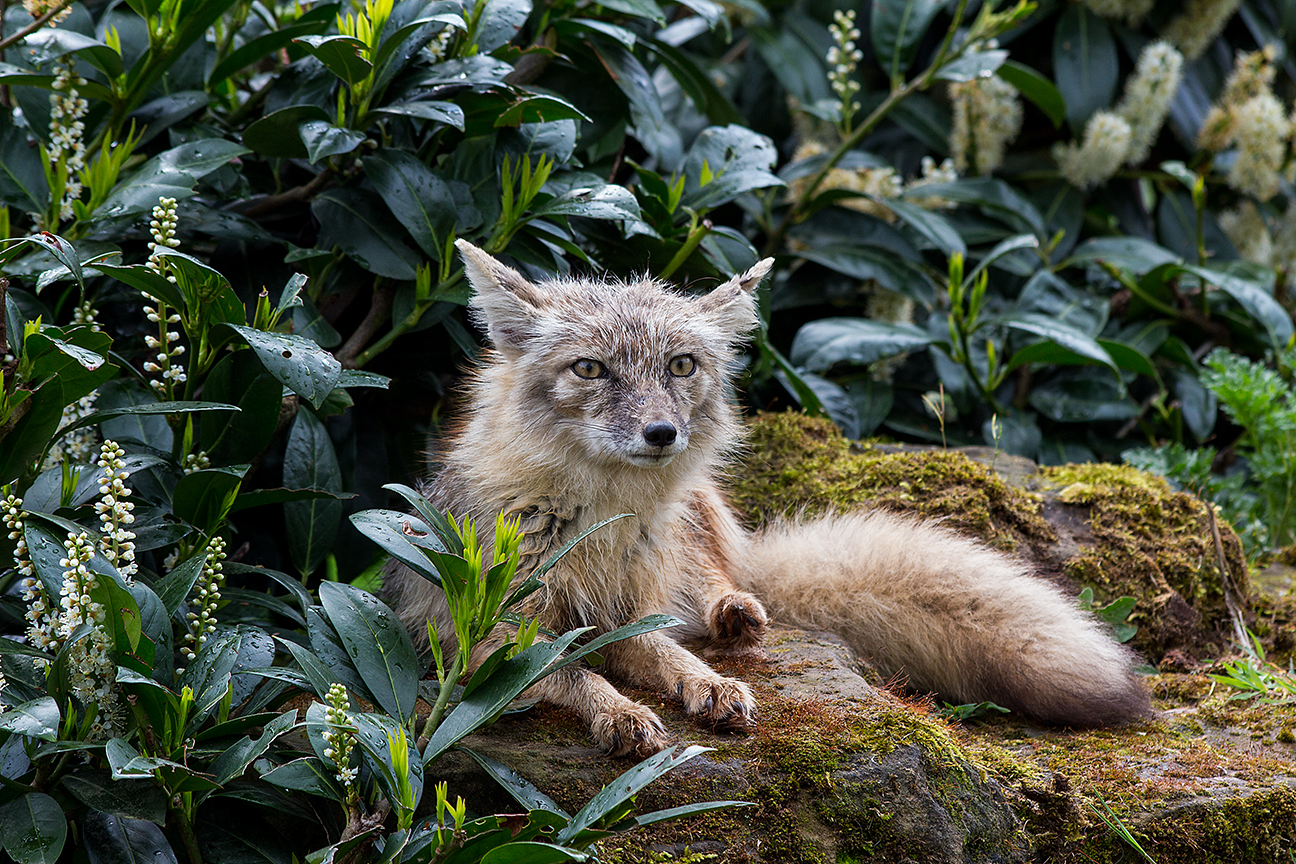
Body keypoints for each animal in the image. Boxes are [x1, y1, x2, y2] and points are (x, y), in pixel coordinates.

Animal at [386, 242, 1156, 756]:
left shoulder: (630, 614)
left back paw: (733, 613)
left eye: (680, 365)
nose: (662, 432)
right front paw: (620, 713)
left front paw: (703, 682)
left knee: (719, 583)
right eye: (591, 369)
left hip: (696, 521)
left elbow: (666, 652)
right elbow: (572, 674)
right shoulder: (484, 641)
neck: (595, 527)